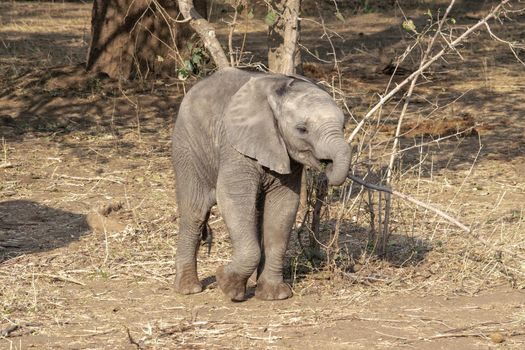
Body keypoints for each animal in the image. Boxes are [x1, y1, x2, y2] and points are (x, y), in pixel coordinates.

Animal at [172, 67, 350, 300]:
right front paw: (226, 285)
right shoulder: (235, 148)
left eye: (344, 126)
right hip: (188, 148)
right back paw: (188, 289)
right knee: (195, 211)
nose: (326, 164)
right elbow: (232, 198)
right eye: (302, 129)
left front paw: (275, 296)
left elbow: (283, 206)